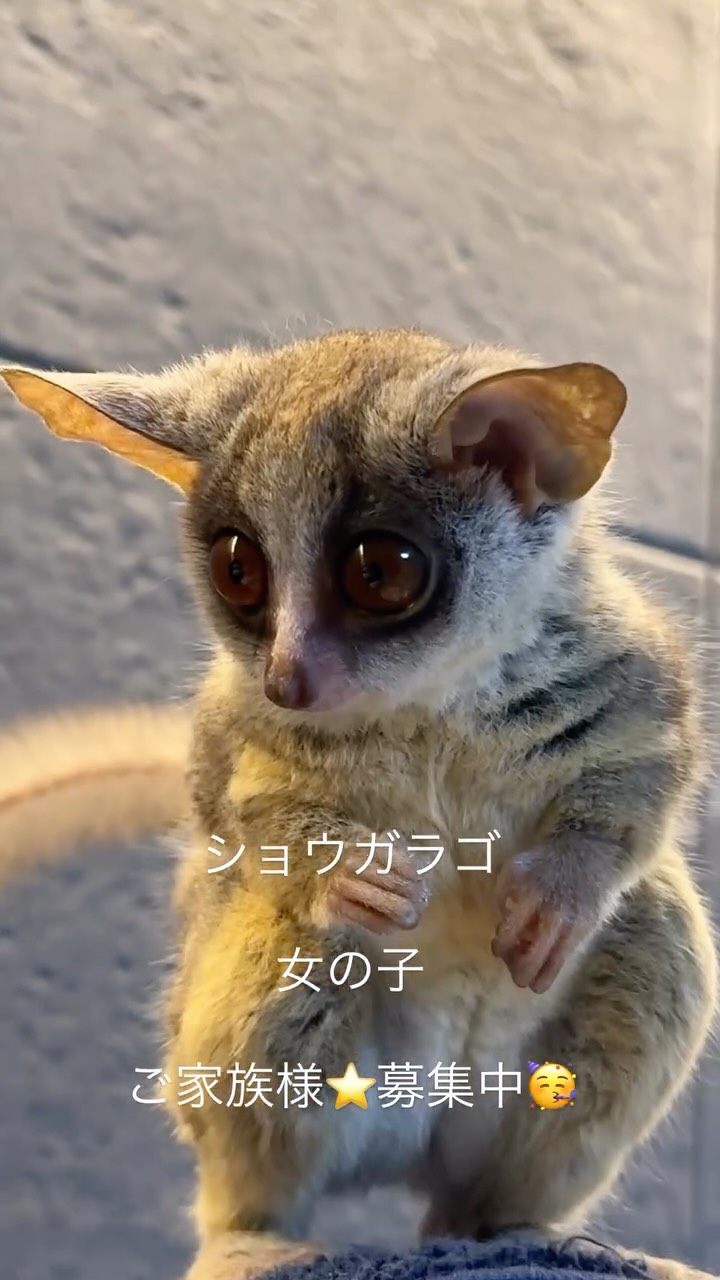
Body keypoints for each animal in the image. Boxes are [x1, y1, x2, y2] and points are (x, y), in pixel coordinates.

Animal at [1, 328, 717, 1280]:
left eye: (379, 572)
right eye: (238, 569)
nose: (285, 681)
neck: (430, 703)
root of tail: (408, 1146)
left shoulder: (630, 662)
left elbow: (651, 769)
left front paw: (557, 899)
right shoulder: (234, 730)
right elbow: (241, 817)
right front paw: (361, 880)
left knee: (653, 929)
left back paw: (520, 1230)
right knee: (294, 957)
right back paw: (252, 1235)